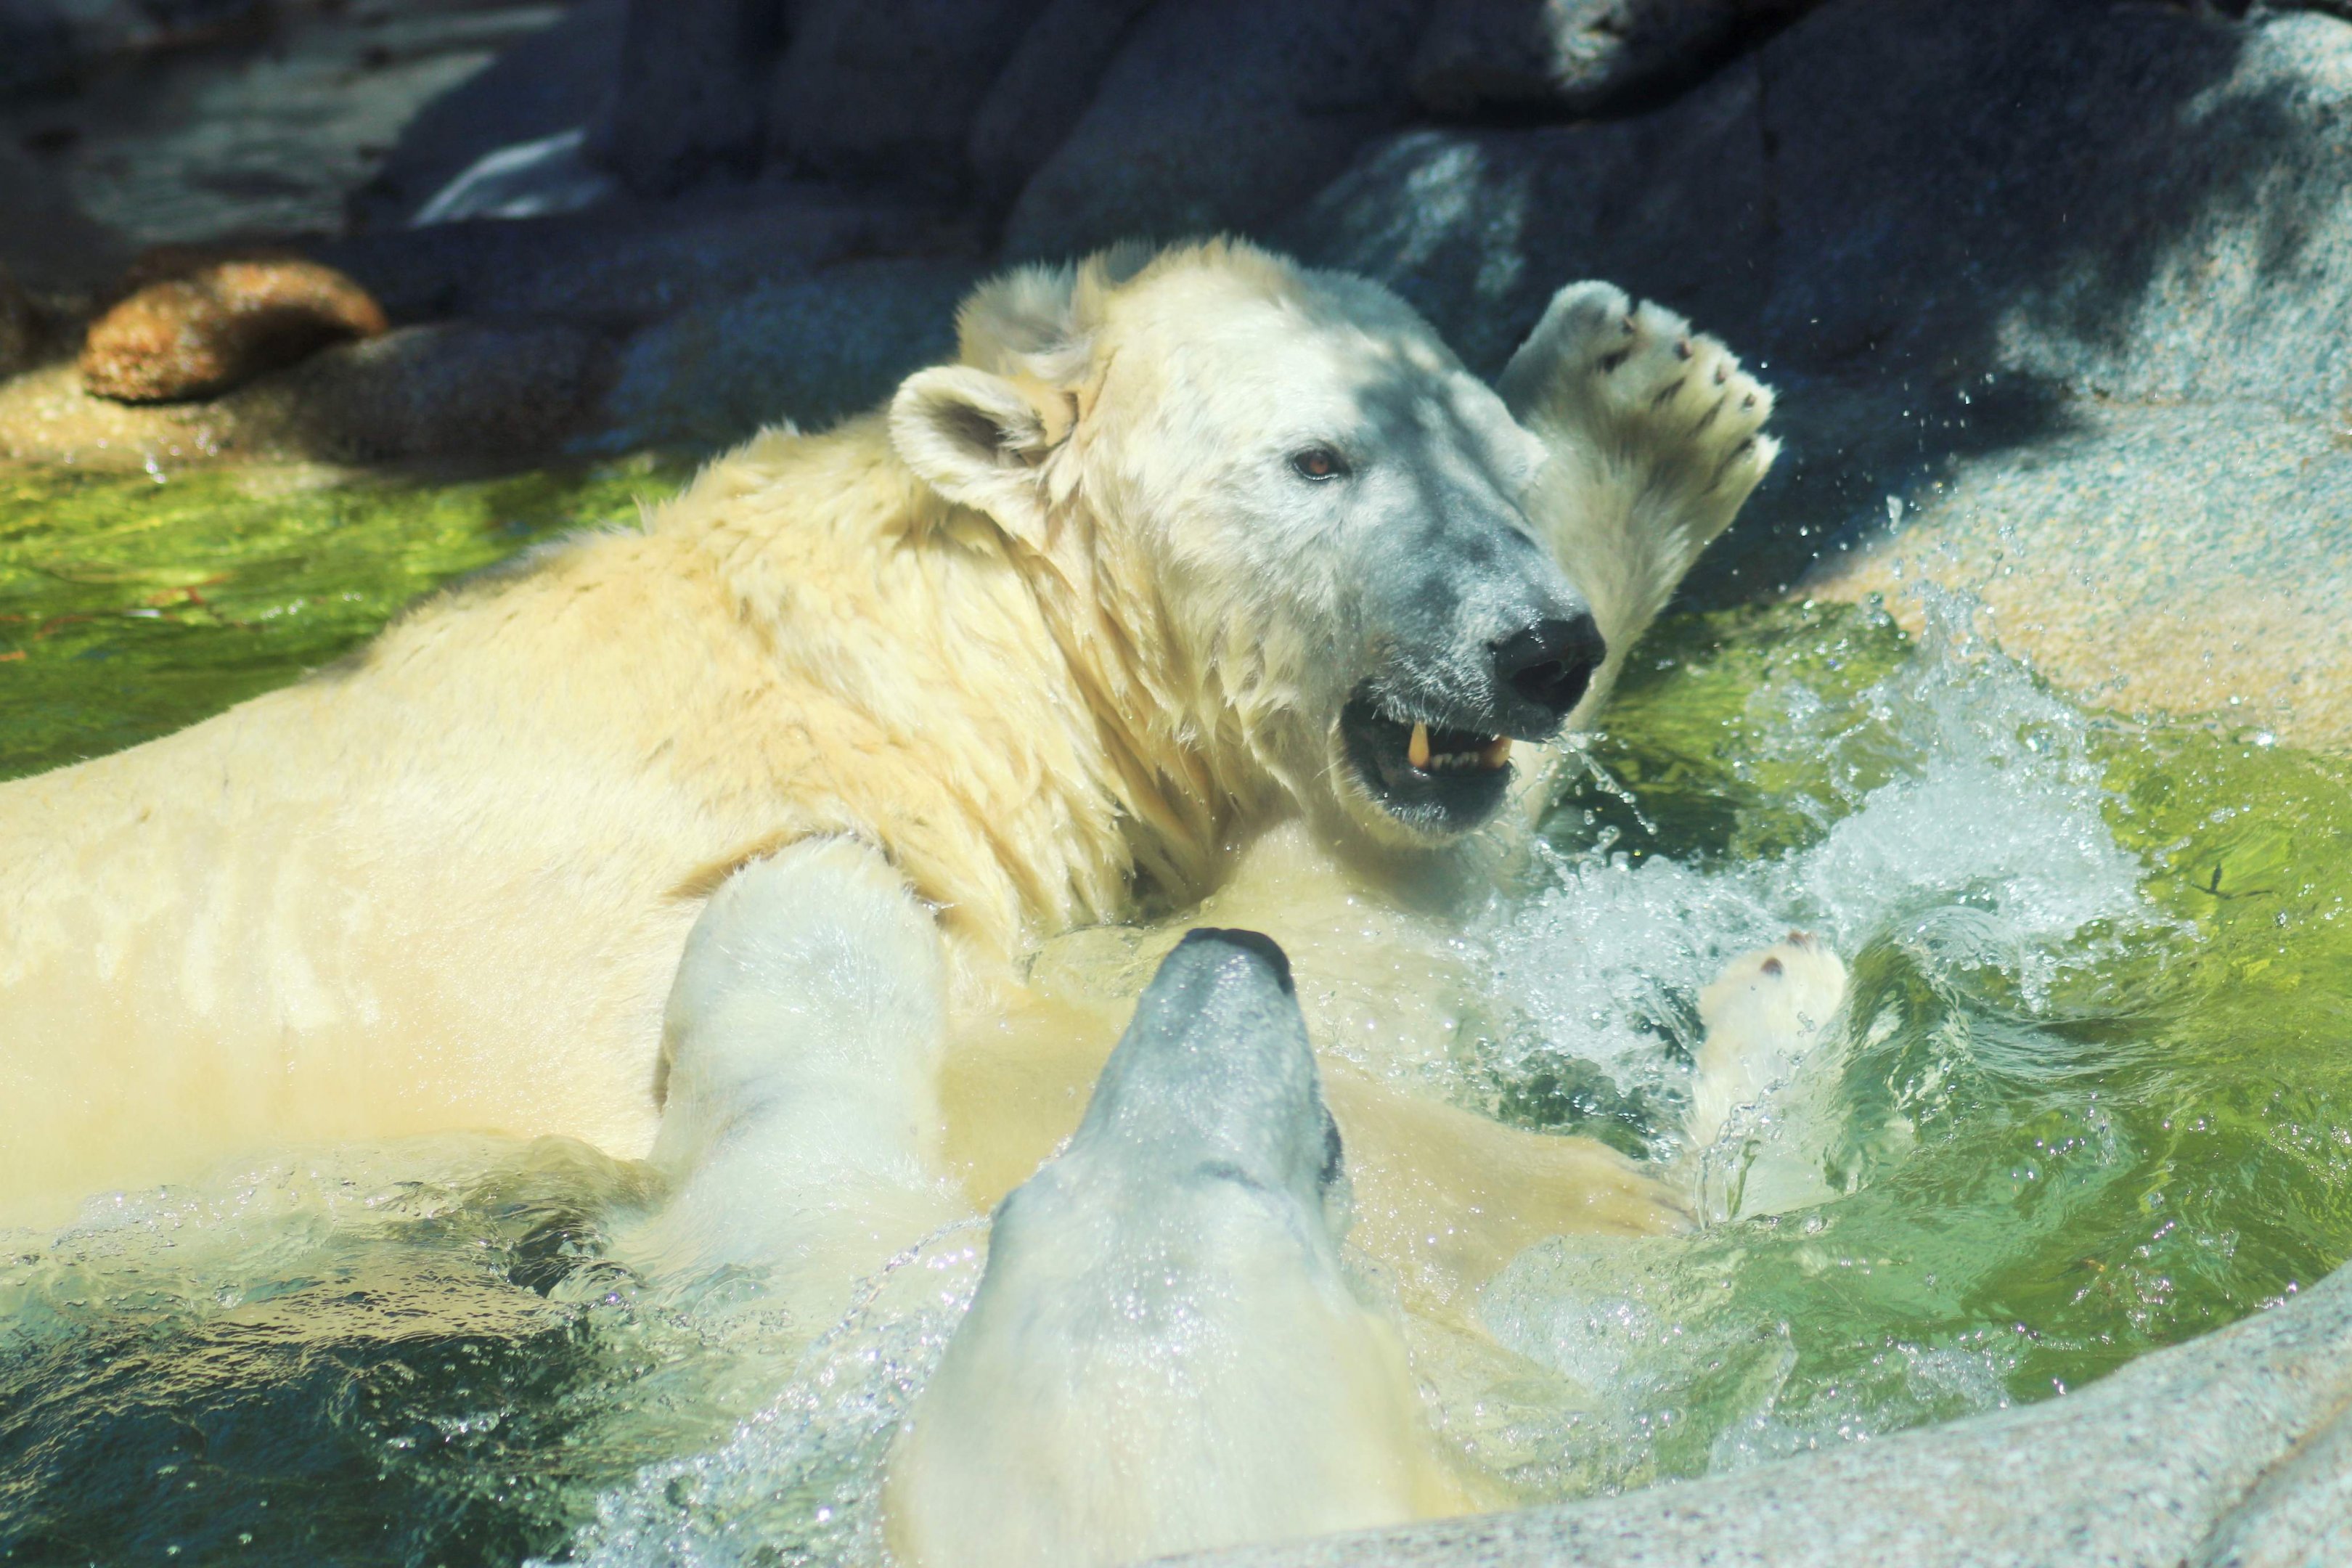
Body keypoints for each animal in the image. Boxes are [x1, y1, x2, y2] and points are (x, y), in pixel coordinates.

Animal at [0, 242, 1788, 1306]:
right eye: (1321, 458)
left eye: (1493, 457)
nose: (1541, 649)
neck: (899, 677)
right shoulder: (649, 934)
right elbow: (1059, 1067)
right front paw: (1613, 1211)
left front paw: (1650, 408)